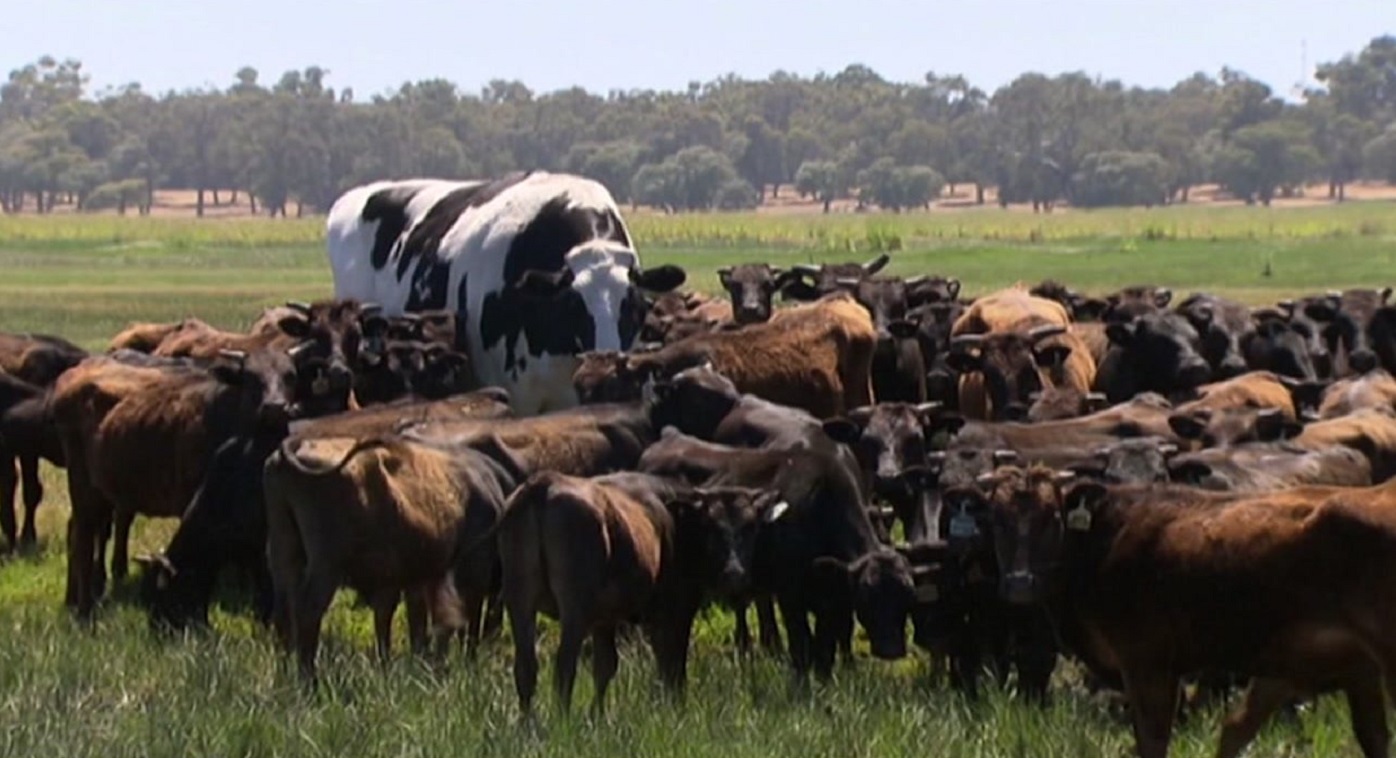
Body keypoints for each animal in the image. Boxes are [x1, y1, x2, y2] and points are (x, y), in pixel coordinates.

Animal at [263, 434, 517, 679]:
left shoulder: (407, 579)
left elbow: (406, 622)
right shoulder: (472, 567)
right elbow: (465, 622)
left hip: (284, 552)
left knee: (284, 613)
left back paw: (284, 675)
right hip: (326, 564)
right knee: (308, 609)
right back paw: (308, 680)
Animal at [499, 470, 788, 716]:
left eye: (750, 527)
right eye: (712, 527)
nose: (734, 573)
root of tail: (543, 484)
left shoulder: (605, 619)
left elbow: (605, 666)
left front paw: (598, 716)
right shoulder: (674, 609)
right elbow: (672, 664)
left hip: (519, 602)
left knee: (526, 668)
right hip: (574, 610)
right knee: (564, 668)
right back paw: (562, 721)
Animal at [979, 466, 1396, 758]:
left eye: (1052, 517)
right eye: (997, 520)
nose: (1019, 584)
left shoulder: (1146, 663)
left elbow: (1153, 739)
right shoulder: (1312, 666)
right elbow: (1236, 730)